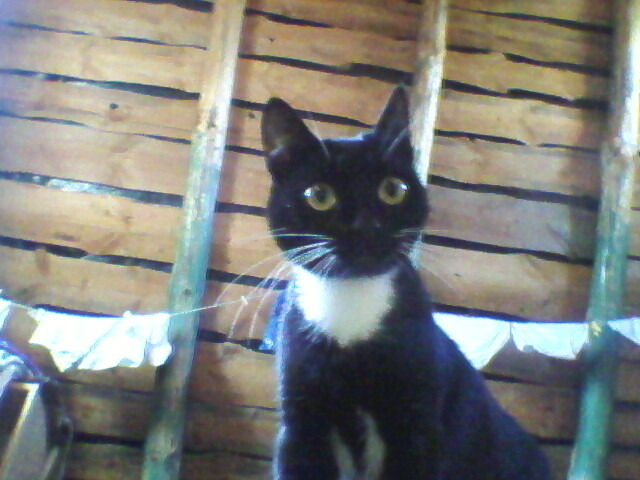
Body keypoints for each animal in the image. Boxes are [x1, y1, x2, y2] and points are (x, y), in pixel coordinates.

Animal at [261, 86, 552, 480]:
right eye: (319, 196)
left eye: (393, 190)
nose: (367, 226)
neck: (352, 302)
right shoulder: (301, 426)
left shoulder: (418, 425)